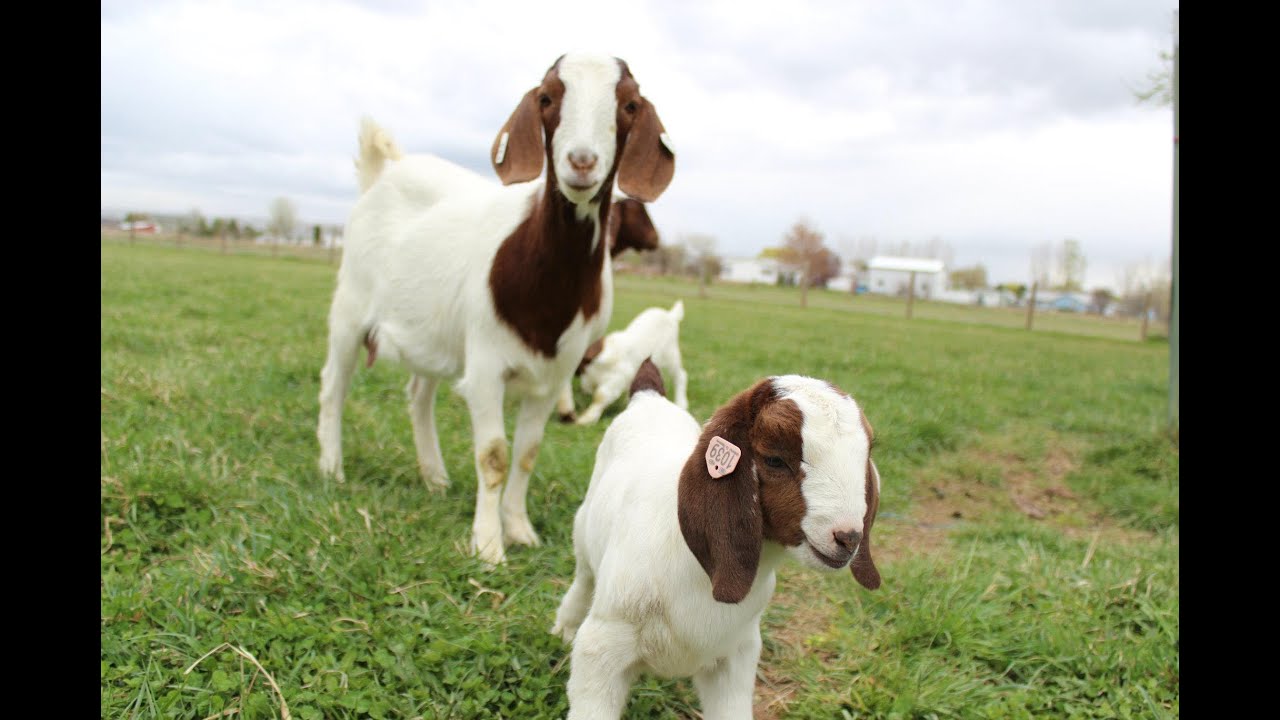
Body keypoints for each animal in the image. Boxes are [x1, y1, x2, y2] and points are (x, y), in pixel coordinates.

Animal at [316, 52, 675, 565]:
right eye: (546, 97)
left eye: (628, 105)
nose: (581, 162)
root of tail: (382, 173)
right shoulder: (486, 364)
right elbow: (494, 455)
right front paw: (487, 544)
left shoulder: (553, 374)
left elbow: (527, 452)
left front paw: (519, 528)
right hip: (350, 304)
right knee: (334, 385)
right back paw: (332, 468)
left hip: (436, 331)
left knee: (418, 394)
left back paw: (434, 476)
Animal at [552, 373, 881, 718]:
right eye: (775, 460)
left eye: (866, 455)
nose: (848, 537)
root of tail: (648, 397)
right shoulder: (602, 651)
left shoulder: (737, 656)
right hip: (584, 533)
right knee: (583, 578)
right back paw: (565, 628)